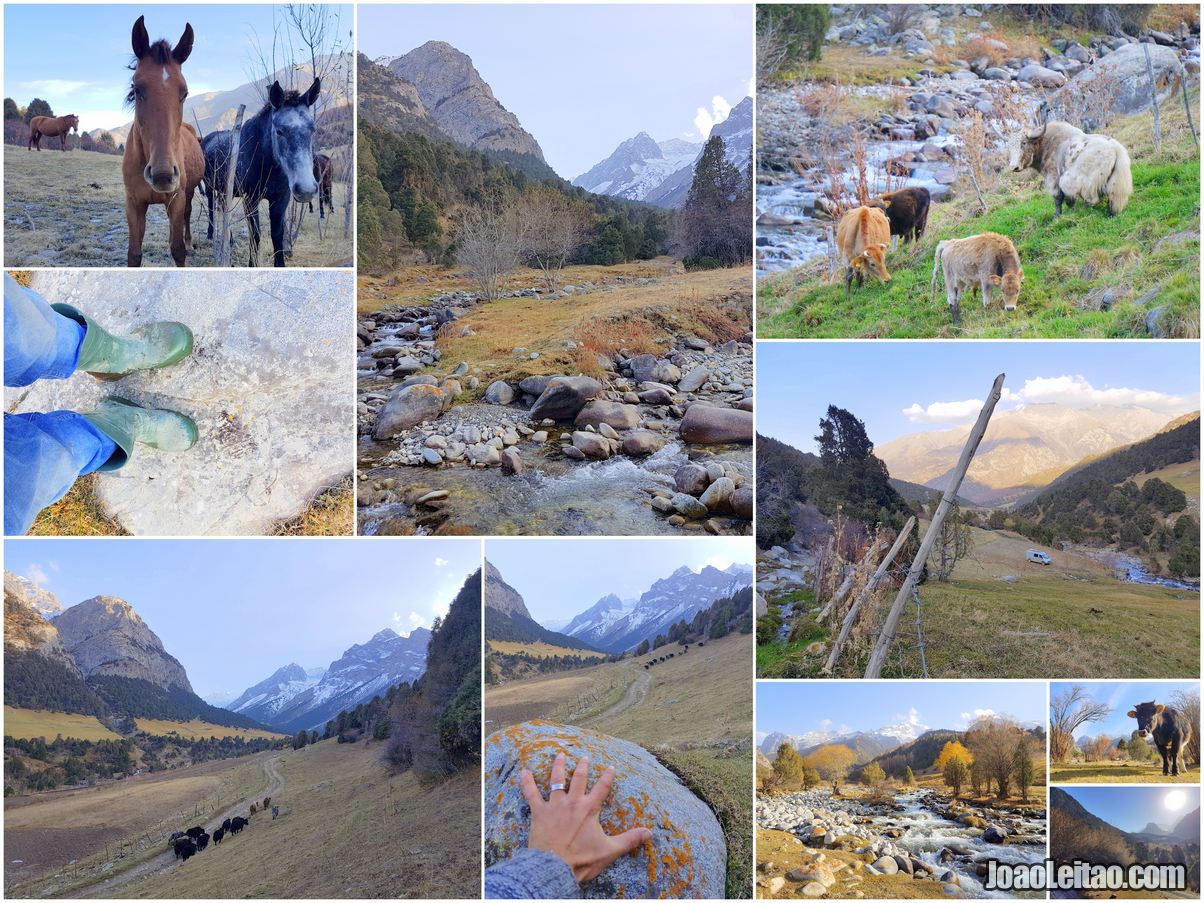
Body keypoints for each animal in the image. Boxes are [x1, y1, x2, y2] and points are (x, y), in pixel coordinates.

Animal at [121, 15, 202, 267]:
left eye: (184, 93)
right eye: (137, 89)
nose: (163, 174)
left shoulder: (177, 199)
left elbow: (177, 249)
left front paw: (182, 245)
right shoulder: (134, 204)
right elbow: (134, 253)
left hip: (188, 193)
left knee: (186, 215)